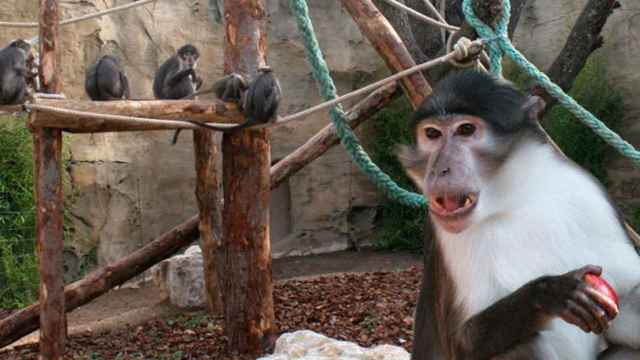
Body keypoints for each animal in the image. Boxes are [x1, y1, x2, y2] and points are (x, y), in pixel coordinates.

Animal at [400, 71, 640, 360]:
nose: (439, 170)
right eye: (432, 134)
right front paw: (550, 292)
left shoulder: (590, 196)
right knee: (523, 344)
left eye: (466, 130)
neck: (514, 198)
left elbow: (628, 297)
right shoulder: (446, 237)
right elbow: (462, 342)